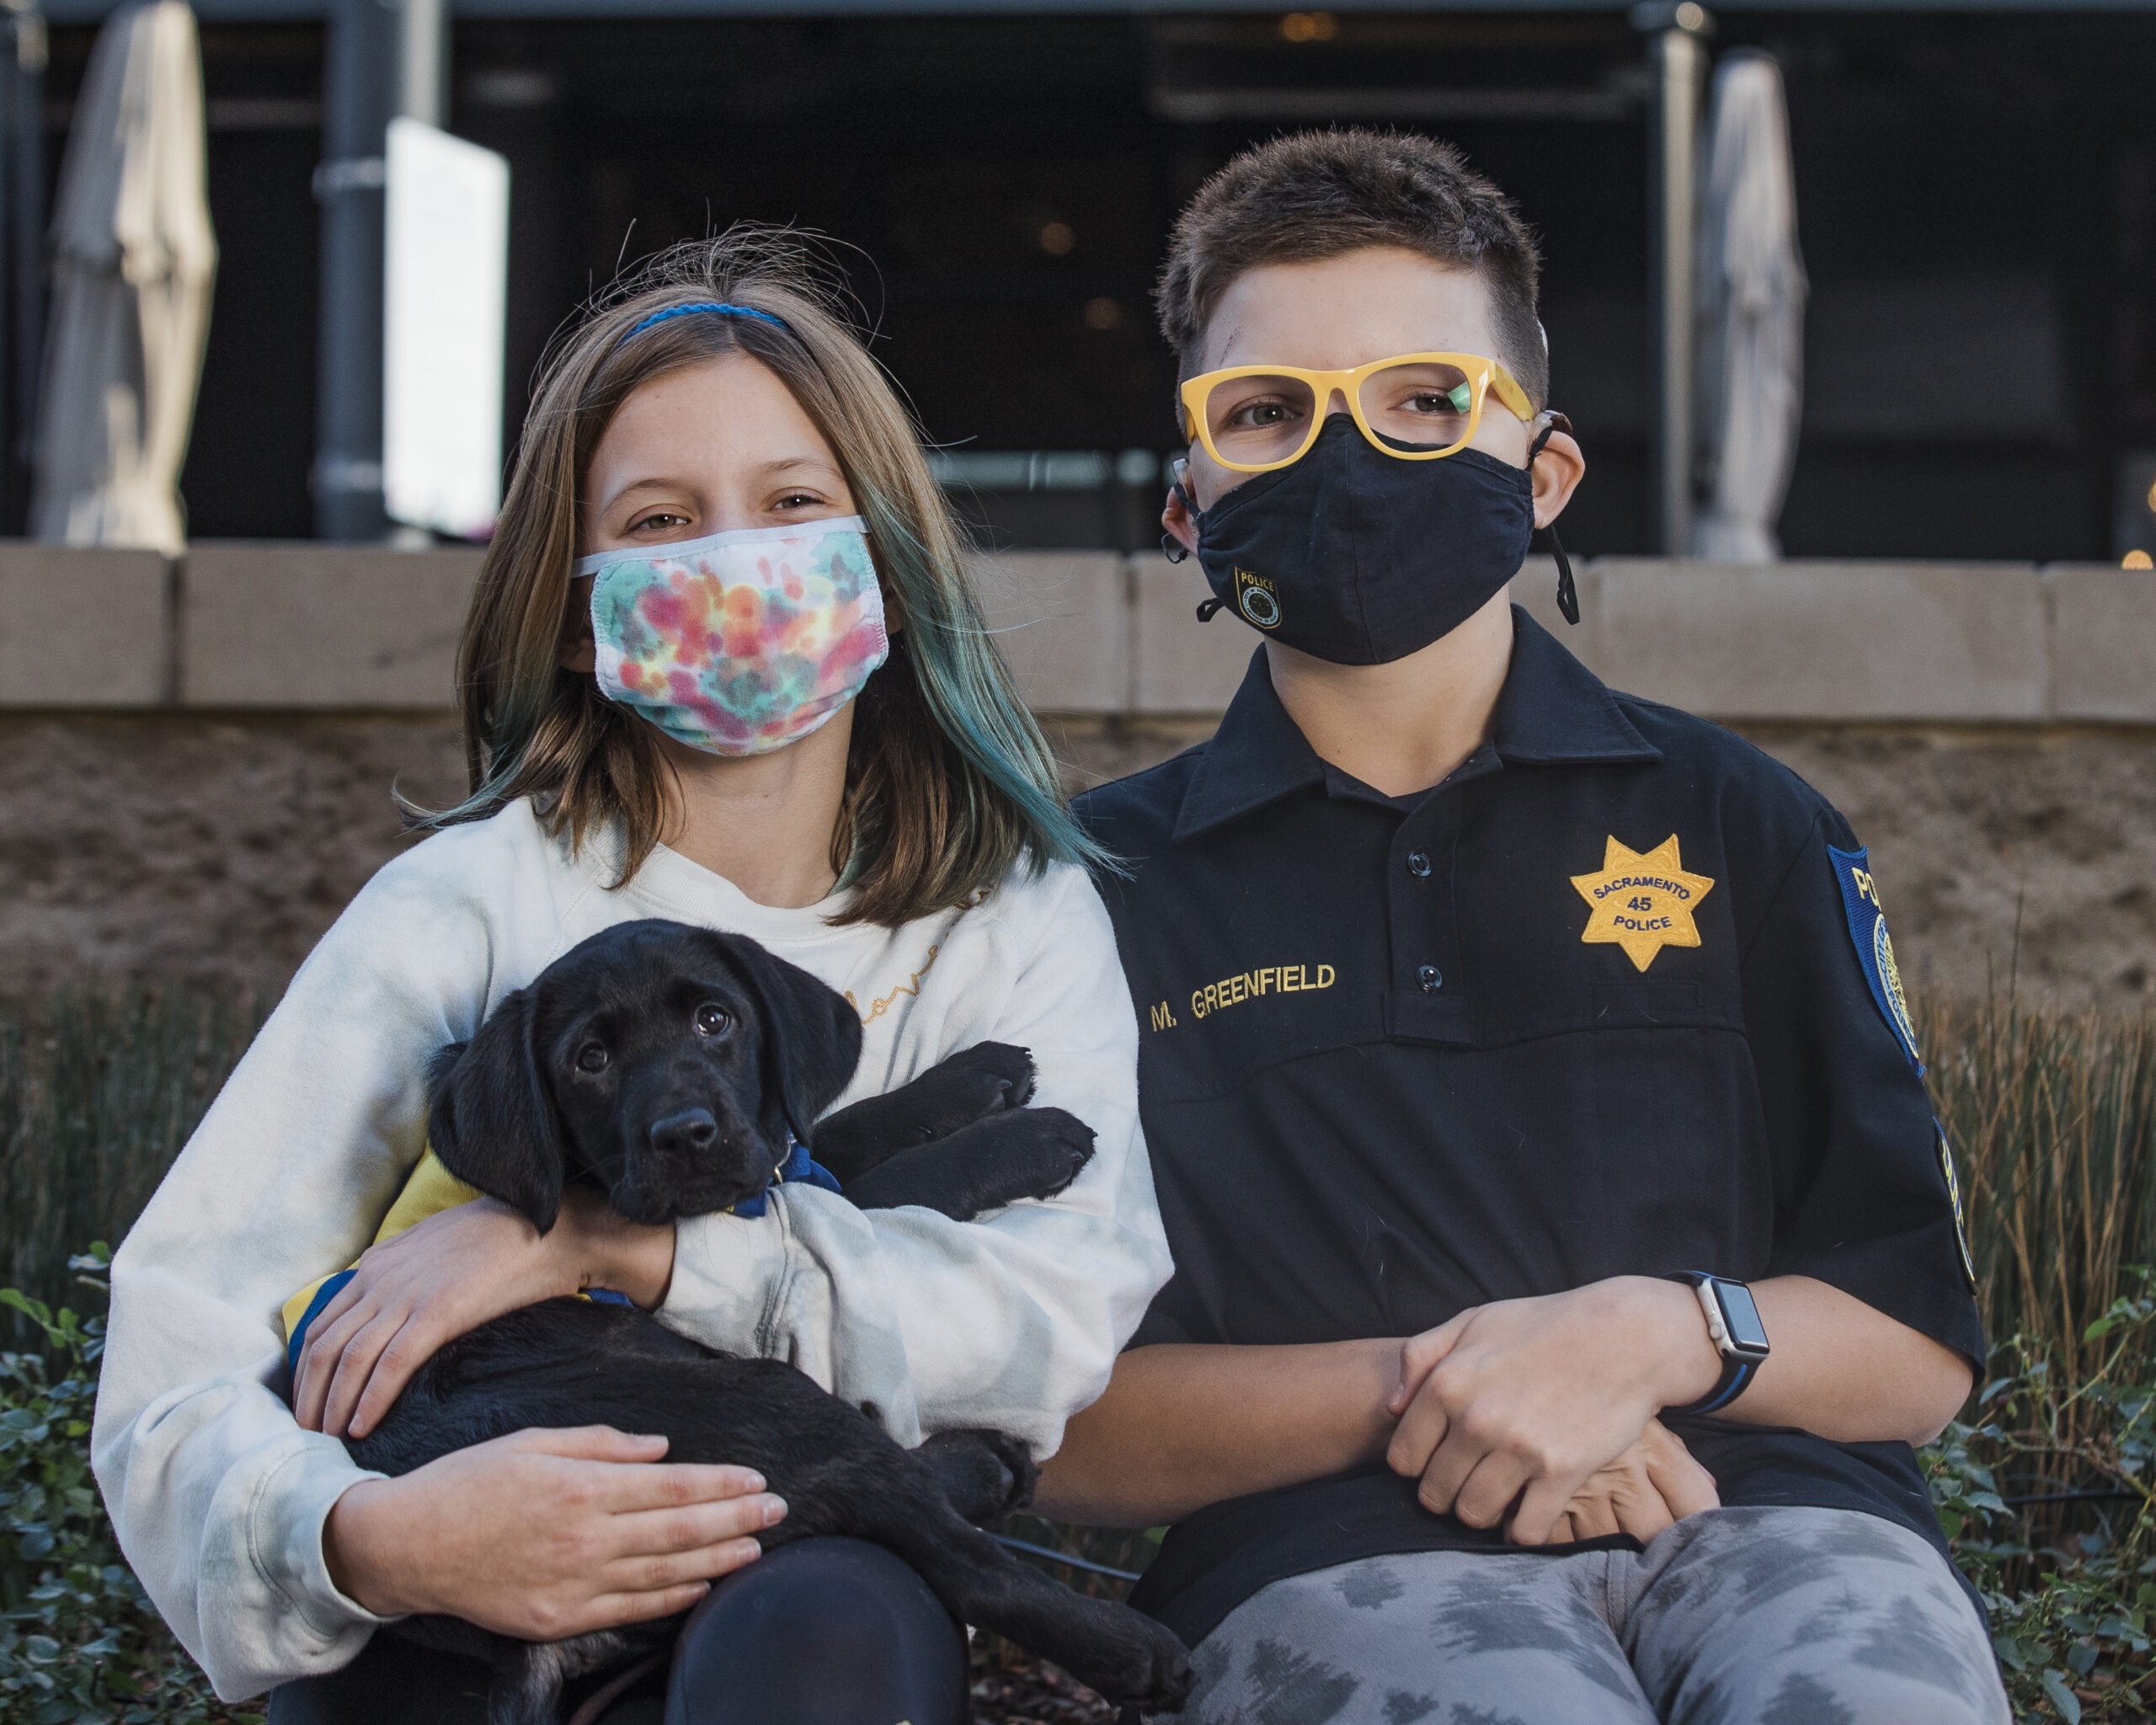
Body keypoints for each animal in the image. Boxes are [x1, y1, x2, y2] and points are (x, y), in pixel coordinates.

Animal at [336, 922, 1198, 1716]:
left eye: (715, 1020)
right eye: (590, 1060)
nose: (686, 1135)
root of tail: (525, 1642)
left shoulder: (770, 1156)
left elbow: (832, 1134)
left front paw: (971, 1079)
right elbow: (894, 1184)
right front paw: (1023, 1138)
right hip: (759, 1401)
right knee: (946, 1548)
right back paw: (1128, 1642)